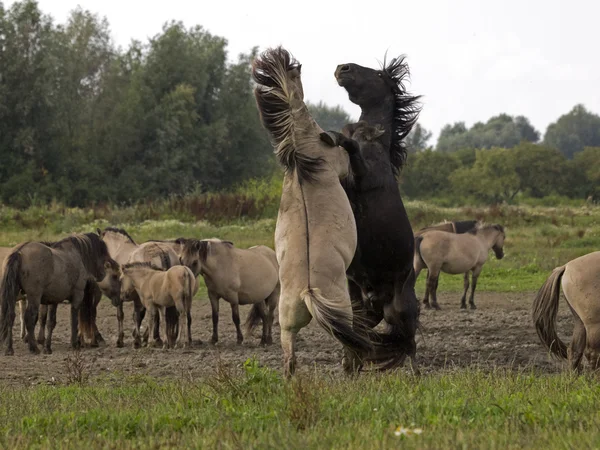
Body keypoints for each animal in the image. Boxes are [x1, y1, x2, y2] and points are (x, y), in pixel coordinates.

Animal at [255, 46, 382, 376]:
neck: (302, 155)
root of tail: (307, 292)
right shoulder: (343, 167)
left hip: (287, 325)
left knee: (290, 360)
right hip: (342, 309)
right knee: (348, 341)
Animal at [322, 55, 420, 370]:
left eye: (377, 74)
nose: (343, 68)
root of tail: (379, 298)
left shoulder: (363, 179)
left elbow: (350, 147)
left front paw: (332, 135)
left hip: (400, 309)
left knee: (408, 342)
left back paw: (414, 372)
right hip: (360, 305)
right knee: (360, 336)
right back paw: (349, 367)